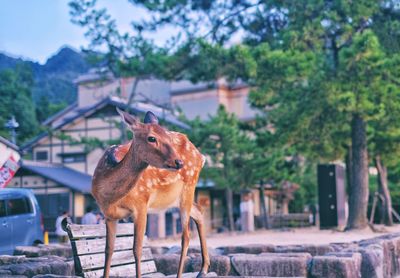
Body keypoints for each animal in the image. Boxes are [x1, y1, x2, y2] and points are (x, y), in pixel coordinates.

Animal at [92, 108, 211, 278]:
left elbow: (137, 249)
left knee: (186, 236)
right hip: (175, 198)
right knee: (199, 211)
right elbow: (108, 250)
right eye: (151, 138)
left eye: (168, 137)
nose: (179, 161)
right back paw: (203, 270)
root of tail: (201, 156)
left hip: (189, 185)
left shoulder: (141, 205)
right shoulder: (108, 215)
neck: (111, 197)